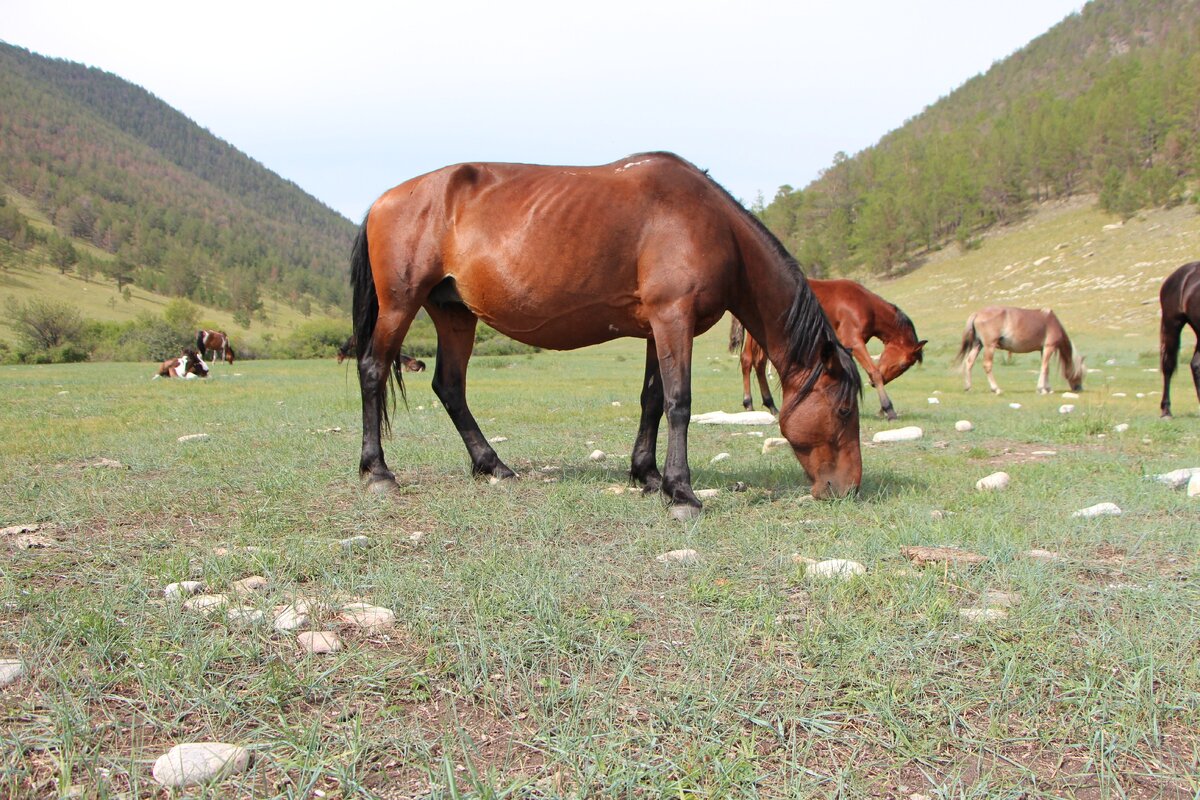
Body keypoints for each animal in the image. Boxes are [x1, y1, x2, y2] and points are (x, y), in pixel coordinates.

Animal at [350, 151, 864, 515]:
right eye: (843, 410)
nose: (849, 489)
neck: (710, 223)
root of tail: (382, 200)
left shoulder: (658, 327)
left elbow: (653, 400)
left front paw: (649, 476)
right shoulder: (674, 318)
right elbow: (680, 403)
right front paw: (682, 493)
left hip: (454, 313)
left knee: (450, 386)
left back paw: (493, 466)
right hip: (401, 305)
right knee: (374, 369)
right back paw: (379, 472)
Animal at [724, 278, 921, 422]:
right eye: (903, 365)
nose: (872, 385)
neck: (865, 305)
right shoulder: (854, 341)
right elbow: (874, 372)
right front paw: (888, 409)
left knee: (759, 364)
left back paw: (771, 405)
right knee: (748, 360)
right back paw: (749, 403)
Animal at [955, 307, 1089, 393]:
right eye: (1081, 373)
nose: (1079, 388)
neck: (1052, 322)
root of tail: (977, 313)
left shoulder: (1043, 349)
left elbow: (1046, 369)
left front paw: (1048, 388)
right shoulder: (1049, 347)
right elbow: (1044, 367)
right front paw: (1042, 389)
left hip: (978, 345)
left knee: (969, 362)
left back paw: (968, 387)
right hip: (989, 346)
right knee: (987, 365)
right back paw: (996, 389)